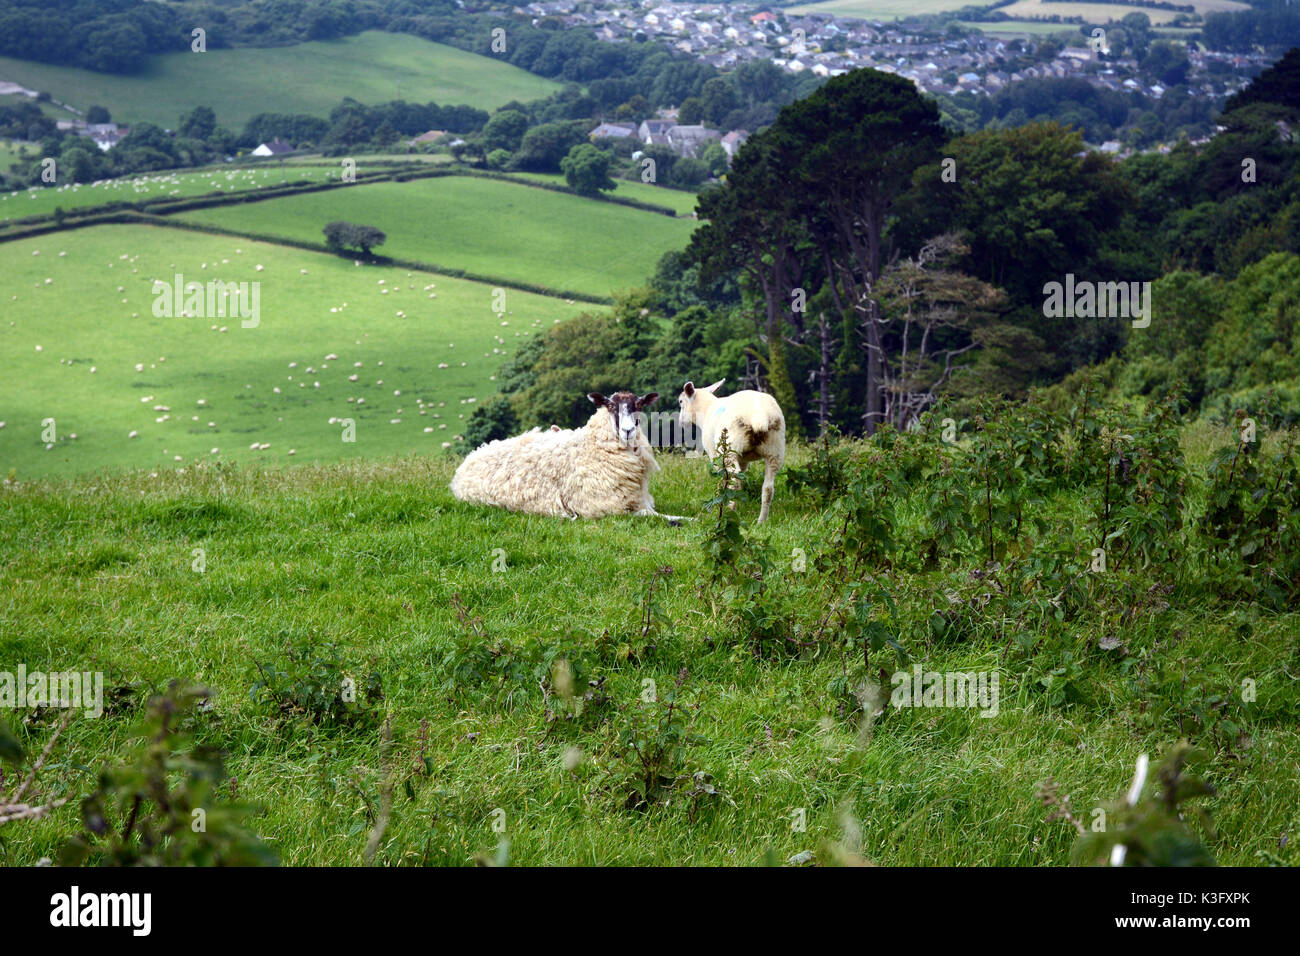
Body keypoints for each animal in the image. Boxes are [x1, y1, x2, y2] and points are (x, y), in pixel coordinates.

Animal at [452, 390, 686, 522]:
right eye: (610, 406)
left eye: (638, 405)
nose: (628, 430)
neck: (588, 445)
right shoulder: (606, 508)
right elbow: (656, 517)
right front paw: (683, 520)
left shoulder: (637, 501)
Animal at [676, 377, 785, 522]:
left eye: (681, 401)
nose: (680, 423)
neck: (705, 410)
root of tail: (759, 416)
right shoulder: (743, 459)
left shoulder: (714, 454)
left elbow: (722, 478)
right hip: (775, 449)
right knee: (768, 488)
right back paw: (761, 521)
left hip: (731, 448)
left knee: (733, 478)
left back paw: (728, 511)